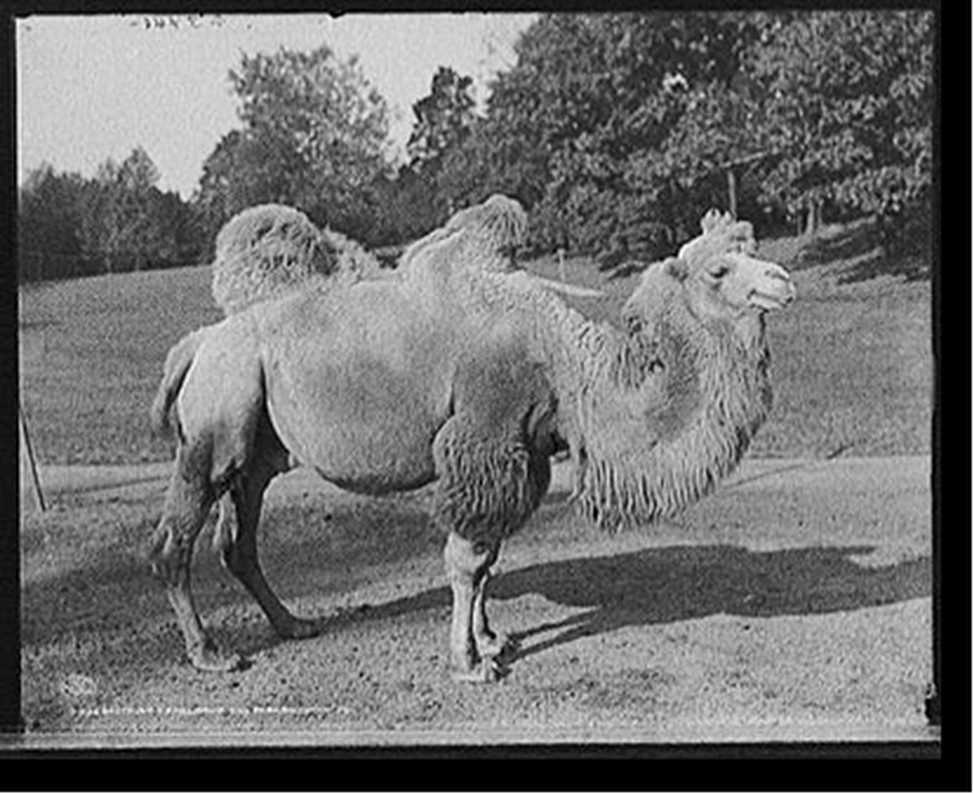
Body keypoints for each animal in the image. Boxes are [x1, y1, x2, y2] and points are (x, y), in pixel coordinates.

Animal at [147, 208, 795, 682]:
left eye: (750, 246)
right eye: (718, 269)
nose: (782, 280)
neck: (566, 364)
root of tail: (197, 342)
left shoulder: (520, 453)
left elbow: (488, 560)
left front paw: (490, 638)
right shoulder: (485, 436)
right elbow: (467, 560)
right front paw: (470, 662)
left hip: (257, 451)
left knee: (239, 541)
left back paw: (293, 624)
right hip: (215, 422)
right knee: (173, 542)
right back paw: (209, 652)